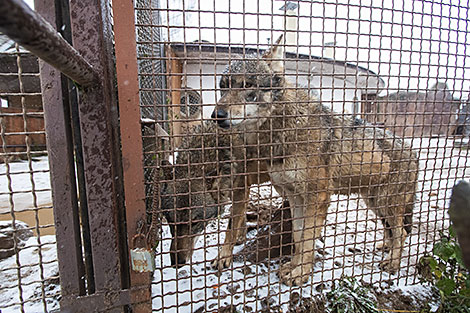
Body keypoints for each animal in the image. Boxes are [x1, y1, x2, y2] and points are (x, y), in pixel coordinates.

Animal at [211, 36, 416, 286]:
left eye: (247, 85)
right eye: (223, 87)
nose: (217, 115)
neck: (282, 132)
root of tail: (412, 150)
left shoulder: (317, 196)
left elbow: (308, 237)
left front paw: (300, 274)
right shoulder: (294, 196)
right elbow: (299, 236)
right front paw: (293, 267)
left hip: (385, 203)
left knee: (401, 232)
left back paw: (392, 264)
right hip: (374, 203)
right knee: (392, 231)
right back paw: (385, 248)